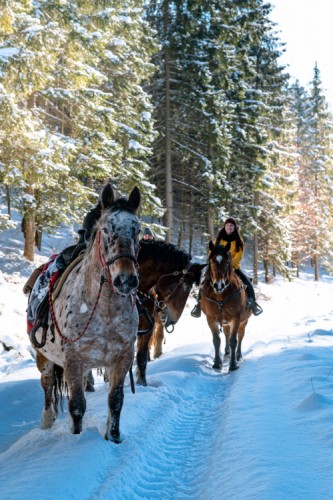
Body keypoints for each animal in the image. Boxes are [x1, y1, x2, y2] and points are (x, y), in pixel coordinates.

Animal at [29, 184, 141, 442]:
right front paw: (78, 439)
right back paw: (47, 423)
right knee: (47, 386)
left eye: (137, 230)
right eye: (106, 229)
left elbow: (116, 401)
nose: (126, 280)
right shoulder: (73, 361)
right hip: (45, 358)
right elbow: (77, 406)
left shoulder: (121, 359)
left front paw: (113, 438)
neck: (105, 310)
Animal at [198, 240, 250, 374]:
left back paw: (238, 355)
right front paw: (217, 363)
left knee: (240, 336)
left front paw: (233, 364)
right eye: (211, 261)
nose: (219, 285)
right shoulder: (210, 319)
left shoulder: (236, 318)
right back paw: (226, 353)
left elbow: (233, 341)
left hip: (244, 321)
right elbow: (216, 340)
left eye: (227, 262)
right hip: (225, 322)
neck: (220, 296)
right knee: (226, 334)